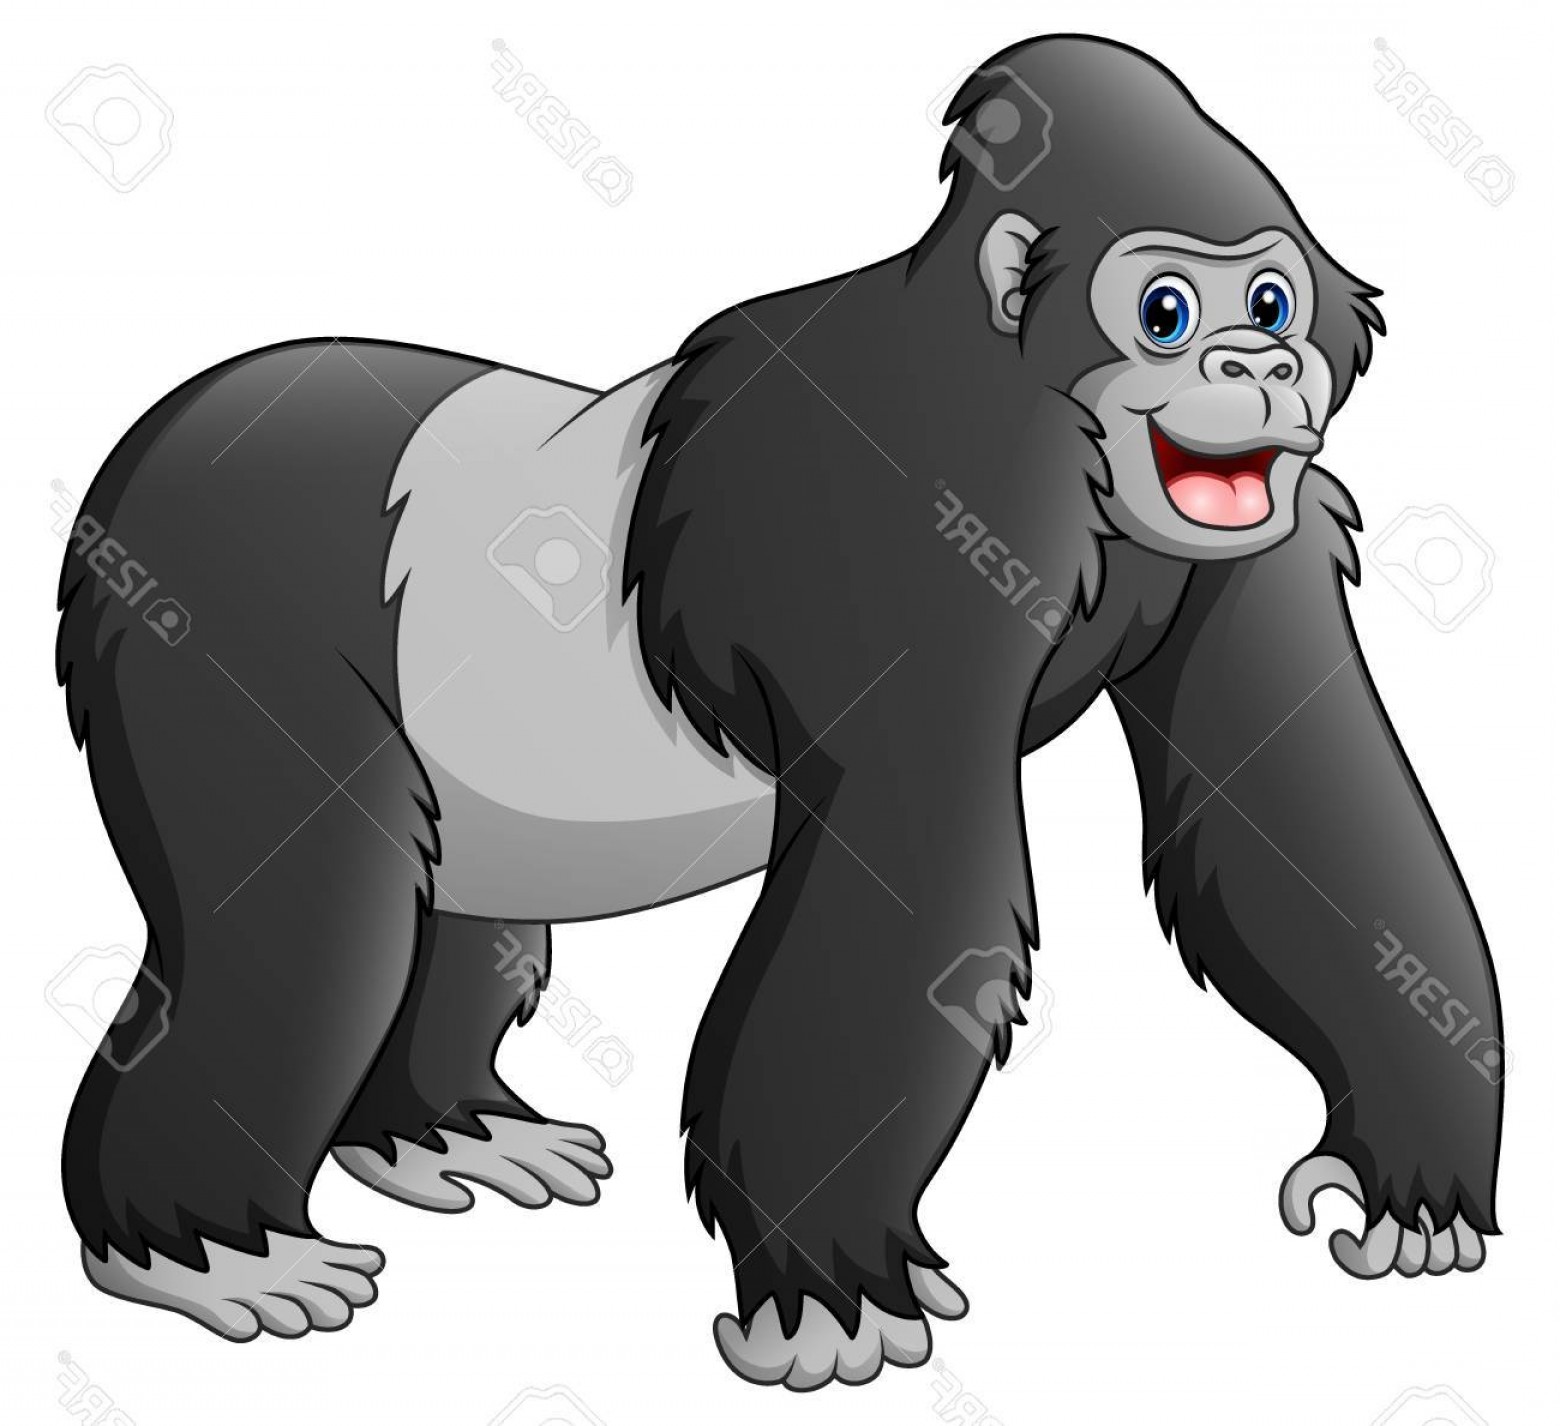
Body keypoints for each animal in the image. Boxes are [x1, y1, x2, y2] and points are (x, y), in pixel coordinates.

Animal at [56, 34, 1500, 1389]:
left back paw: (436, 1130)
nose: (1259, 362)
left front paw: (1414, 1173)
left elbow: (1298, 813)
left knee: (454, 910)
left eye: (1273, 297)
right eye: (1163, 310)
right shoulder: (898, 518)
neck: (1036, 405)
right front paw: (831, 1292)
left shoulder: (1259, 536)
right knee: (310, 921)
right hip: (202, 594)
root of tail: (155, 439)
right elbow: (911, 897)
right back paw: (202, 1249)